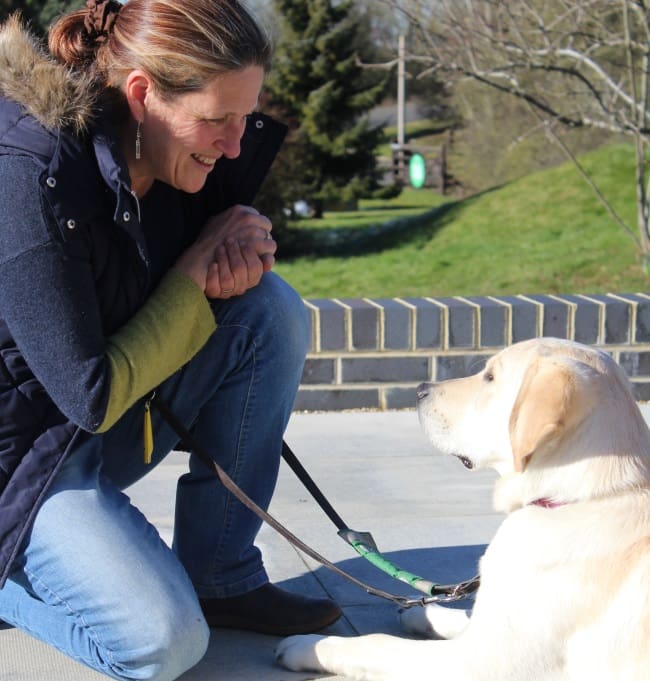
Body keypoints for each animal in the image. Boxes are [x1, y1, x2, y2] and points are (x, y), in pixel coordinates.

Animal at [276, 340, 648, 680]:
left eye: (490, 377)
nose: (420, 389)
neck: (580, 495)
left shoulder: (479, 663)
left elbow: (379, 643)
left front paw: (308, 646)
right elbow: (468, 617)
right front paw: (423, 614)